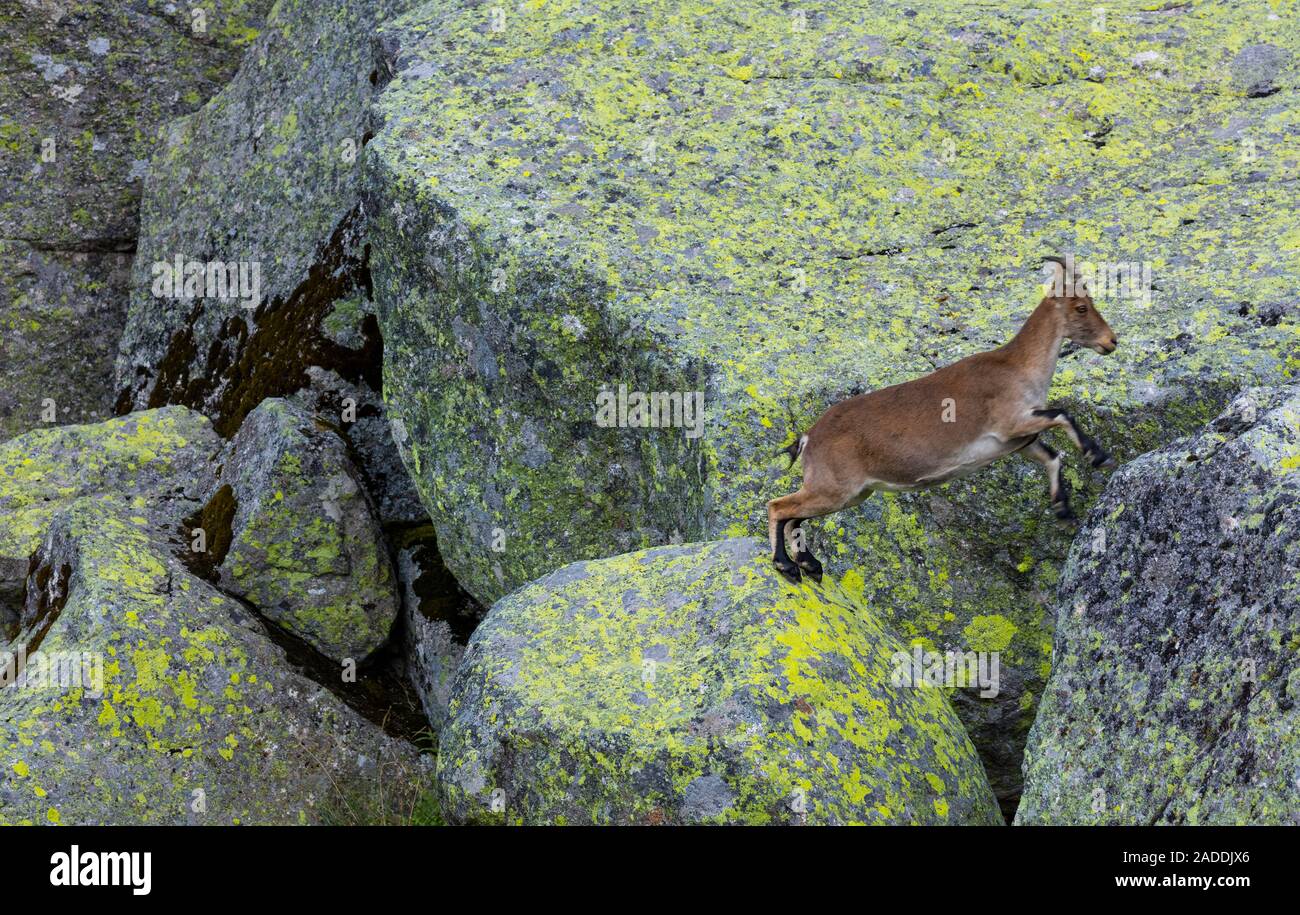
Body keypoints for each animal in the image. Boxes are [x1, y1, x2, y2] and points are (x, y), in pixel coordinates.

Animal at [767, 258, 1119, 580]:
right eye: (1081, 307)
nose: (1111, 341)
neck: (1018, 367)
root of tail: (808, 437)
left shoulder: (1019, 441)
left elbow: (1051, 456)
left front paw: (1064, 510)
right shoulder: (1011, 422)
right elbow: (1062, 414)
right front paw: (1097, 455)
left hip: (849, 494)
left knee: (794, 517)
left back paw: (810, 565)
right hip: (834, 489)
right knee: (778, 507)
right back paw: (786, 565)